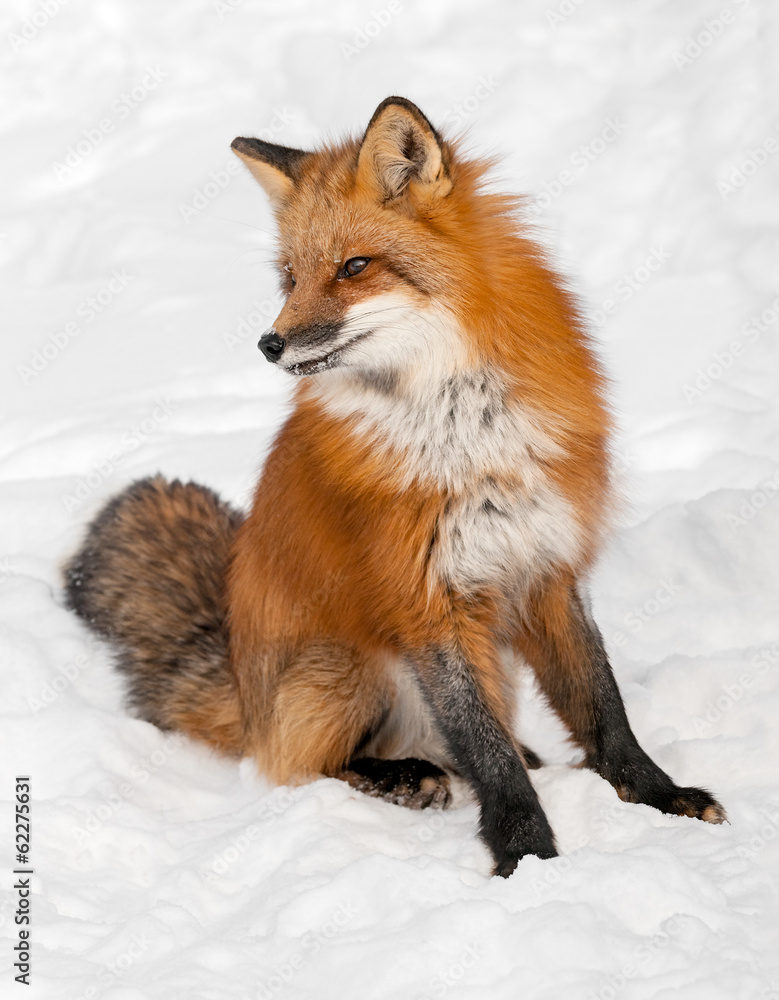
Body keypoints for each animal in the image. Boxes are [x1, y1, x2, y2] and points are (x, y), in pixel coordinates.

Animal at [65, 96, 725, 876]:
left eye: (354, 266)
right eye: (290, 277)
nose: (269, 344)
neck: (465, 433)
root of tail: (241, 682)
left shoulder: (547, 564)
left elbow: (601, 706)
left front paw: (659, 797)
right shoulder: (423, 595)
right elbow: (485, 748)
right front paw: (526, 854)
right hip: (345, 667)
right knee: (298, 766)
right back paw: (403, 776)